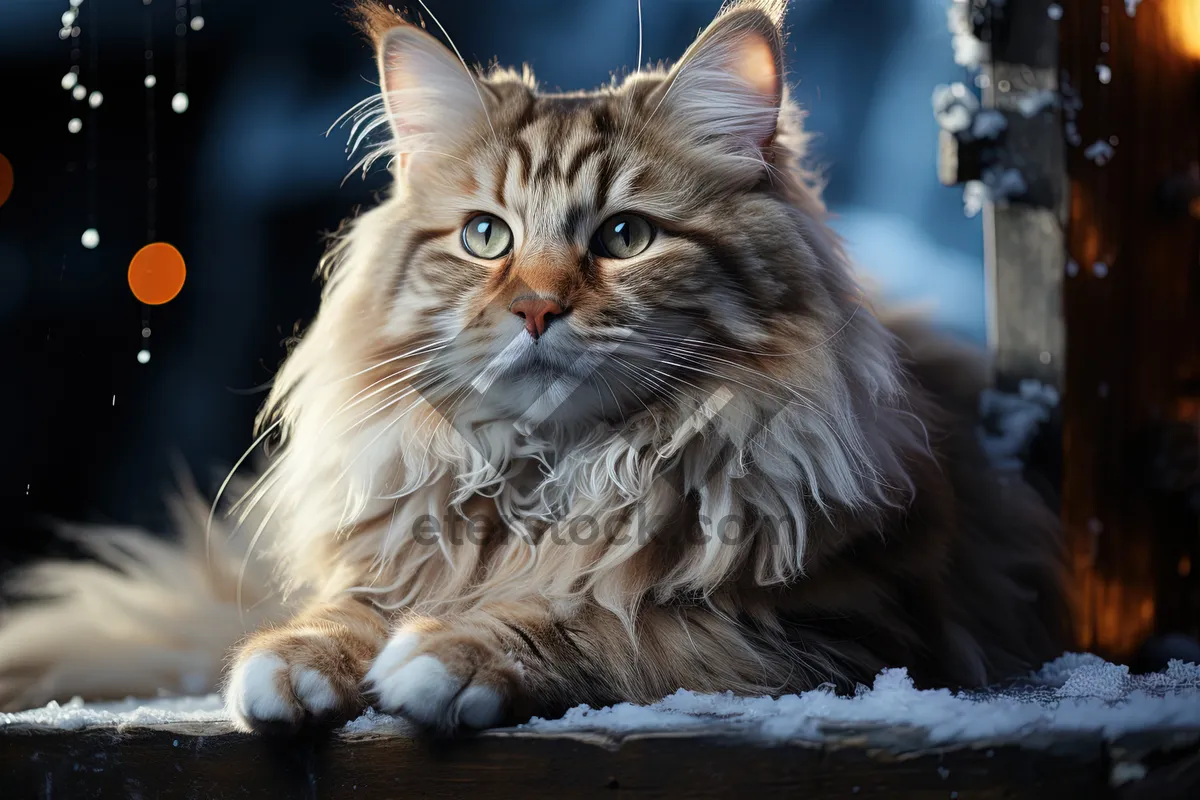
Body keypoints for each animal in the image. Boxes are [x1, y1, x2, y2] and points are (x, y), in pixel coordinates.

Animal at [0, 1, 1070, 738]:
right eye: (486, 236)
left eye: (625, 237)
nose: (536, 307)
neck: (552, 477)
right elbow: (346, 612)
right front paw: (295, 662)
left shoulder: (840, 624)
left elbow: (613, 620)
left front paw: (448, 654)